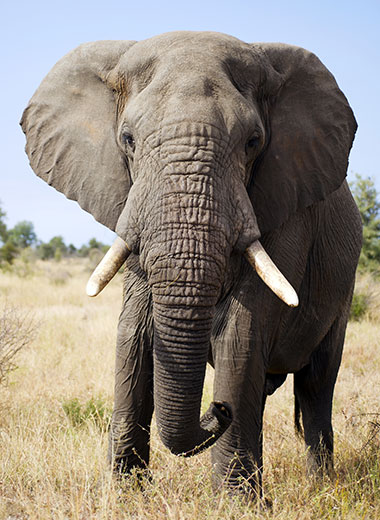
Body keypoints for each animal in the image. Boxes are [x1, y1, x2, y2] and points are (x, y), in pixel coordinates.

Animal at [20, 32, 362, 496]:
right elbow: (135, 331)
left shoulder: (286, 206)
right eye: (127, 139)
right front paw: (127, 495)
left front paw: (236, 503)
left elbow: (241, 331)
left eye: (253, 142)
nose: (217, 409)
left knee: (316, 384)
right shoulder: (133, 203)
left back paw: (321, 487)